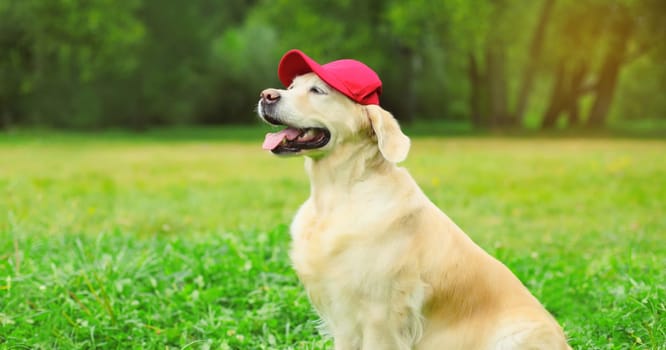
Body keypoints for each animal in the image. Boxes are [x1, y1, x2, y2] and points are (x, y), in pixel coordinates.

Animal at [256, 50, 568, 350]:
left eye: (317, 90)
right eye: (291, 86)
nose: (266, 95)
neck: (339, 193)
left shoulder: (380, 313)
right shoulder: (343, 314)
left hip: (516, 335)